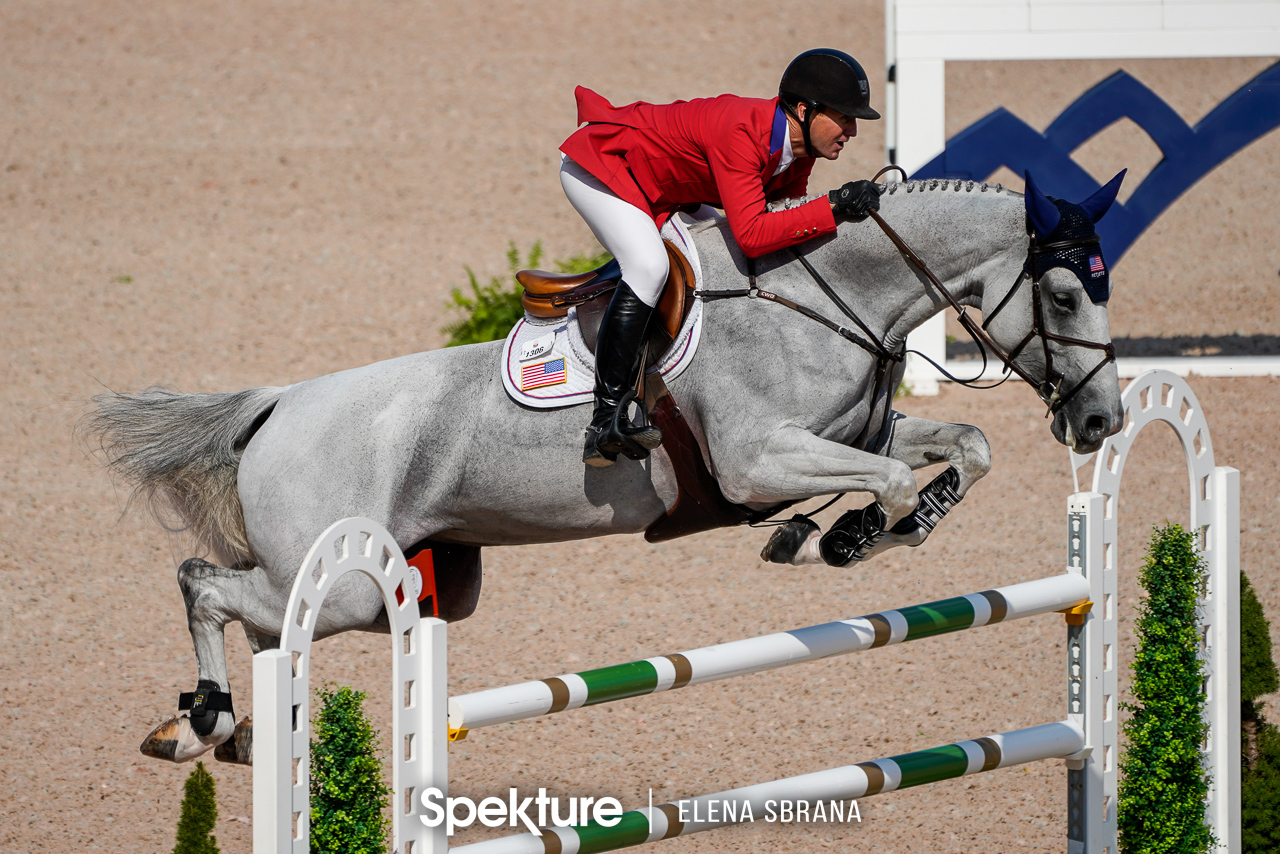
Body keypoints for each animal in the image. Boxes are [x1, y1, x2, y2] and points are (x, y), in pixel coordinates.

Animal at [87, 174, 1121, 763]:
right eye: (1066, 293)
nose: (1103, 418)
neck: (824, 296)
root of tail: (277, 406)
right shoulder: (756, 461)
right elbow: (885, 482)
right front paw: (842, 536)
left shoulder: (857, 434)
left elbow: (964, 447)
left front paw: (875, 527)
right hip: (342, 583)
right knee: (204, 583)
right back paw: (201, 723)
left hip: (402, 589)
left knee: (259, 621)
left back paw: (233, 734)